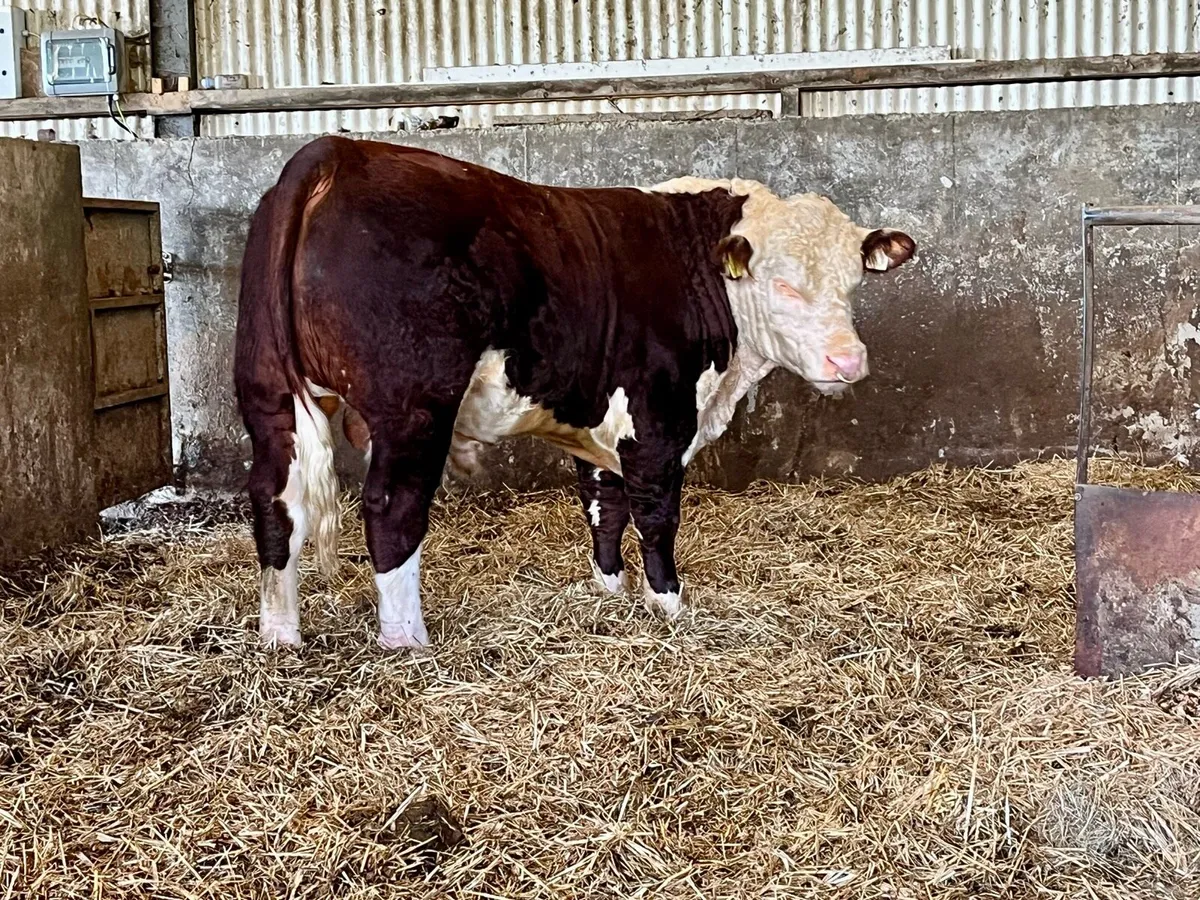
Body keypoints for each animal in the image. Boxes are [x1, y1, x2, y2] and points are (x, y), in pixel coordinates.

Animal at [234, 136, 915, 650]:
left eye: (853, 282)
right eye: (783, 285)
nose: (849, 361)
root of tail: (338, 151)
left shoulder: (601, 418)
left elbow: (603, 505)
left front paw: (610, 591)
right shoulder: (659, 418)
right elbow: (656, 514)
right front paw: (670, 604)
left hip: (268, 392)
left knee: (276, 500)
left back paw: (281, 636)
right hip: (413, 408)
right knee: (391, 509)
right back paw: (408, 641)